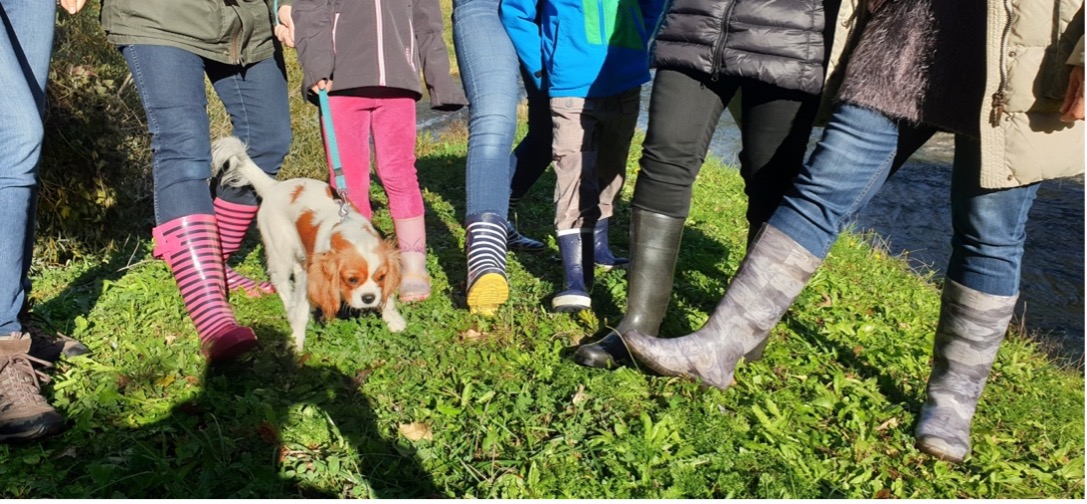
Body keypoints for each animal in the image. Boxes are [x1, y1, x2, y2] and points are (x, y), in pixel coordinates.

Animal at [209, 135, 406, 351]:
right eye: (352, 279)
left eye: (381, 277)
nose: (369, 298)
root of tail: (273, 187)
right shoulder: (311, 277)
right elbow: (301, 312)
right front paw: (296, 343)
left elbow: (388, 299)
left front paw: (394, 320)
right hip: (280, 250)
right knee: (281, 281)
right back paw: (289, 305)